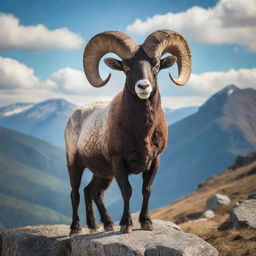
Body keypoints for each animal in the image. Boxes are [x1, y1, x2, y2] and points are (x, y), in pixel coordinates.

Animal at [65, 29, 191, 235]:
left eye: (156, 65)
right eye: (126, 66)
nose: (143, 86)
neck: (142, 131)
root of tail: (74, 116)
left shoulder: (155, 161)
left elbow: (146, 190)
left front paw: (146, 222)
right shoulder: (119, 162)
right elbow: (127, 191)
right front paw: (126, 225)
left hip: (103, 173)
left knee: (92, 192)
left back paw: (101, 225)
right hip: (75, 165)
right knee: (75, 193)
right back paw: (76, 229)